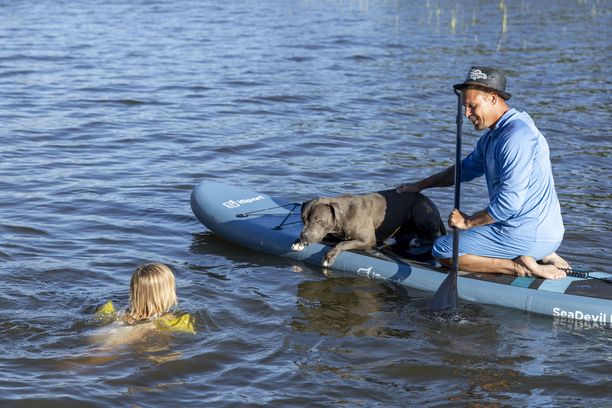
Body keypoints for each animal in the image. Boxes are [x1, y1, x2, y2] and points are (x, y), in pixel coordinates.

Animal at [292, 189, 444, 266]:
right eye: (303, 218)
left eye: (317, 219)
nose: (303, 235)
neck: (344, 214)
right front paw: (298, 242)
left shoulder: (368, 240)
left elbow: (342, 244)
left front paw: (329, 256)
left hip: (420, 210)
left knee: (434, 237)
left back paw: (417, 241)